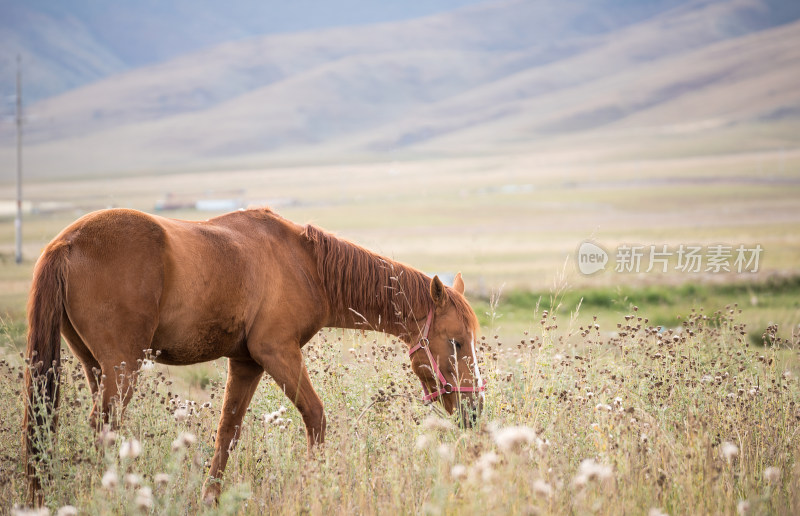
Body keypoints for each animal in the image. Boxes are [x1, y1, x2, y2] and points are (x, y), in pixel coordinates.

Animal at [25, 207, 484, 504]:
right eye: (457, 342)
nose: (474, 409)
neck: (306, 264)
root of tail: (65, 243)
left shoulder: (246, 363)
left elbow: (227, 433)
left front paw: (210, 499)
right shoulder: (277, 352)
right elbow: (316, 418)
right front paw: (310, 488)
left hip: (97, 368)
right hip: (123, 370)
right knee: (104, 427)